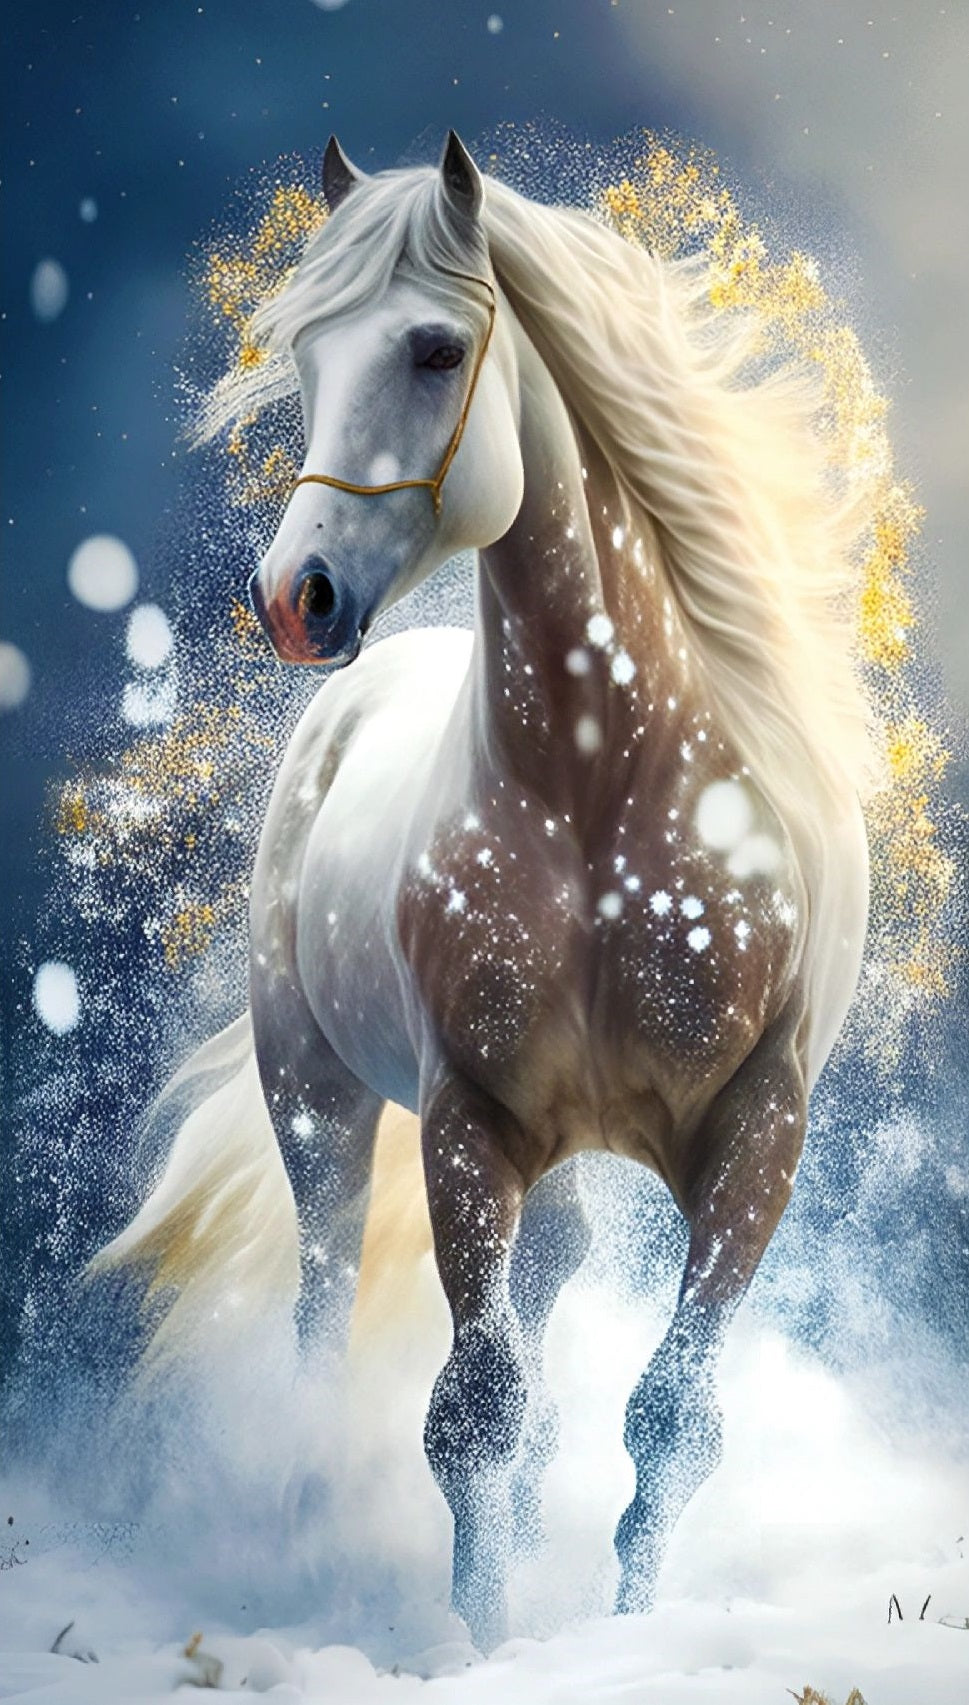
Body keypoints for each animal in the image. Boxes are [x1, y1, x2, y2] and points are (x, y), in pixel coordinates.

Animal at [93, 131, 874, 1649]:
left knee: (556, 1285)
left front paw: (623, 1629)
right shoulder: (468, 1123)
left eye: (436, 348)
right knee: (328, 1311)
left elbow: (671, 1415)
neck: (608, 796)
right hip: (323, 1108)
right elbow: (472, 1412)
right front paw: (483, 1638)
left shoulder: (758, 1134)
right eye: (305, 351)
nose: (294, 598)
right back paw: (305, 1537)